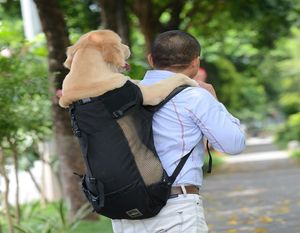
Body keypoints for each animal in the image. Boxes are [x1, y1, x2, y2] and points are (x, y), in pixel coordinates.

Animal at [59, 29, 198, 108]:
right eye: (120, 42)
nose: (128, 47)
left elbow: (134, 80)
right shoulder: (150, 94)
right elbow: (174, 78)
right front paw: (192, 81)